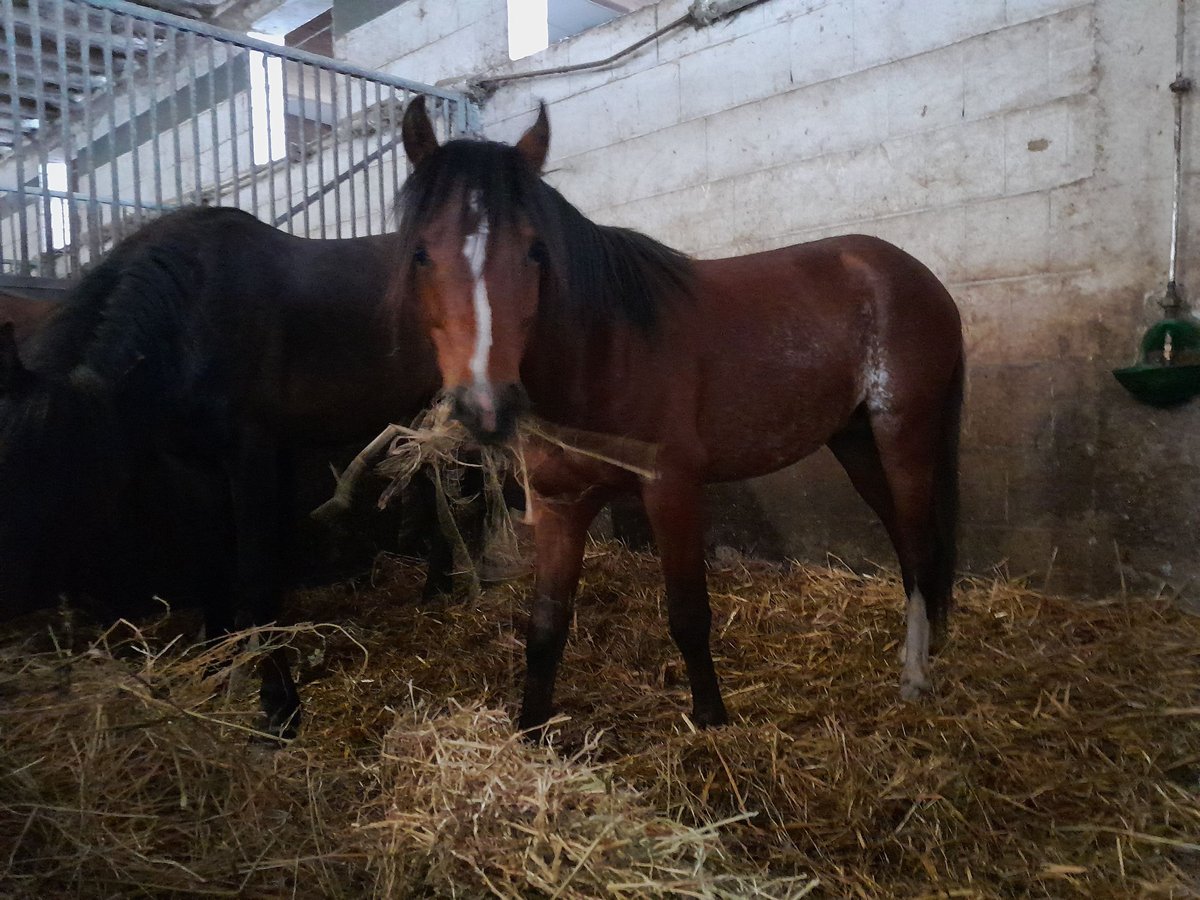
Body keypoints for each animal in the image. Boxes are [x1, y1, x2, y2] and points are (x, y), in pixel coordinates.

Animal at [0, 206, 446, 739]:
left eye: (61, 479)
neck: (189, 316)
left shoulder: (250, 456)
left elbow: (255, 574)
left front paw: (279, 709)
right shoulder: (196, 467)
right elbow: (211, 567)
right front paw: (211, 675)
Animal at [393, 97, 964, 734]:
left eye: (536, 250)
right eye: (420, 253)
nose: (487, 404)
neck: (604, 354)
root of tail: (914, 275)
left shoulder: (672, 490)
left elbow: (689, 614)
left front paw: (711, 718)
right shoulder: (560, 504)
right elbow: (545, 628)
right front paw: (530, 729)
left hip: (904, 436)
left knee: (919, 543)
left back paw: (914, 677)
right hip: (857, 442)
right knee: (908, 544)